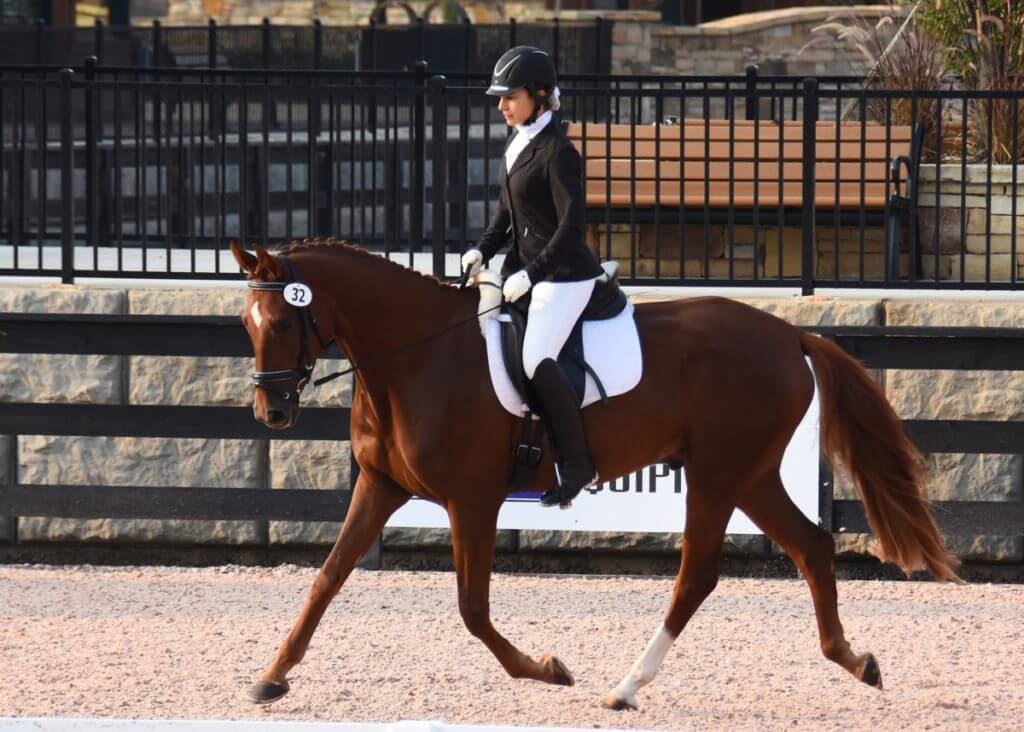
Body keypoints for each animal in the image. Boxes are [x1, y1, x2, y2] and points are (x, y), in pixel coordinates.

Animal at [232, 239, 958, 708]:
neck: (417, 357)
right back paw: (855, 661)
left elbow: (472, 609)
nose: (272, 412)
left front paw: (547, 669)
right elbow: (325, 579)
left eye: (284, 321)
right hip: (748, 476)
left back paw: (628, 686)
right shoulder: (380, 487)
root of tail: (790, 334)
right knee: (811, 546)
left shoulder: (472, 501)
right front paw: (272, 675)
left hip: (719, 474)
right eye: (246, 322)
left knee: (698, 573)